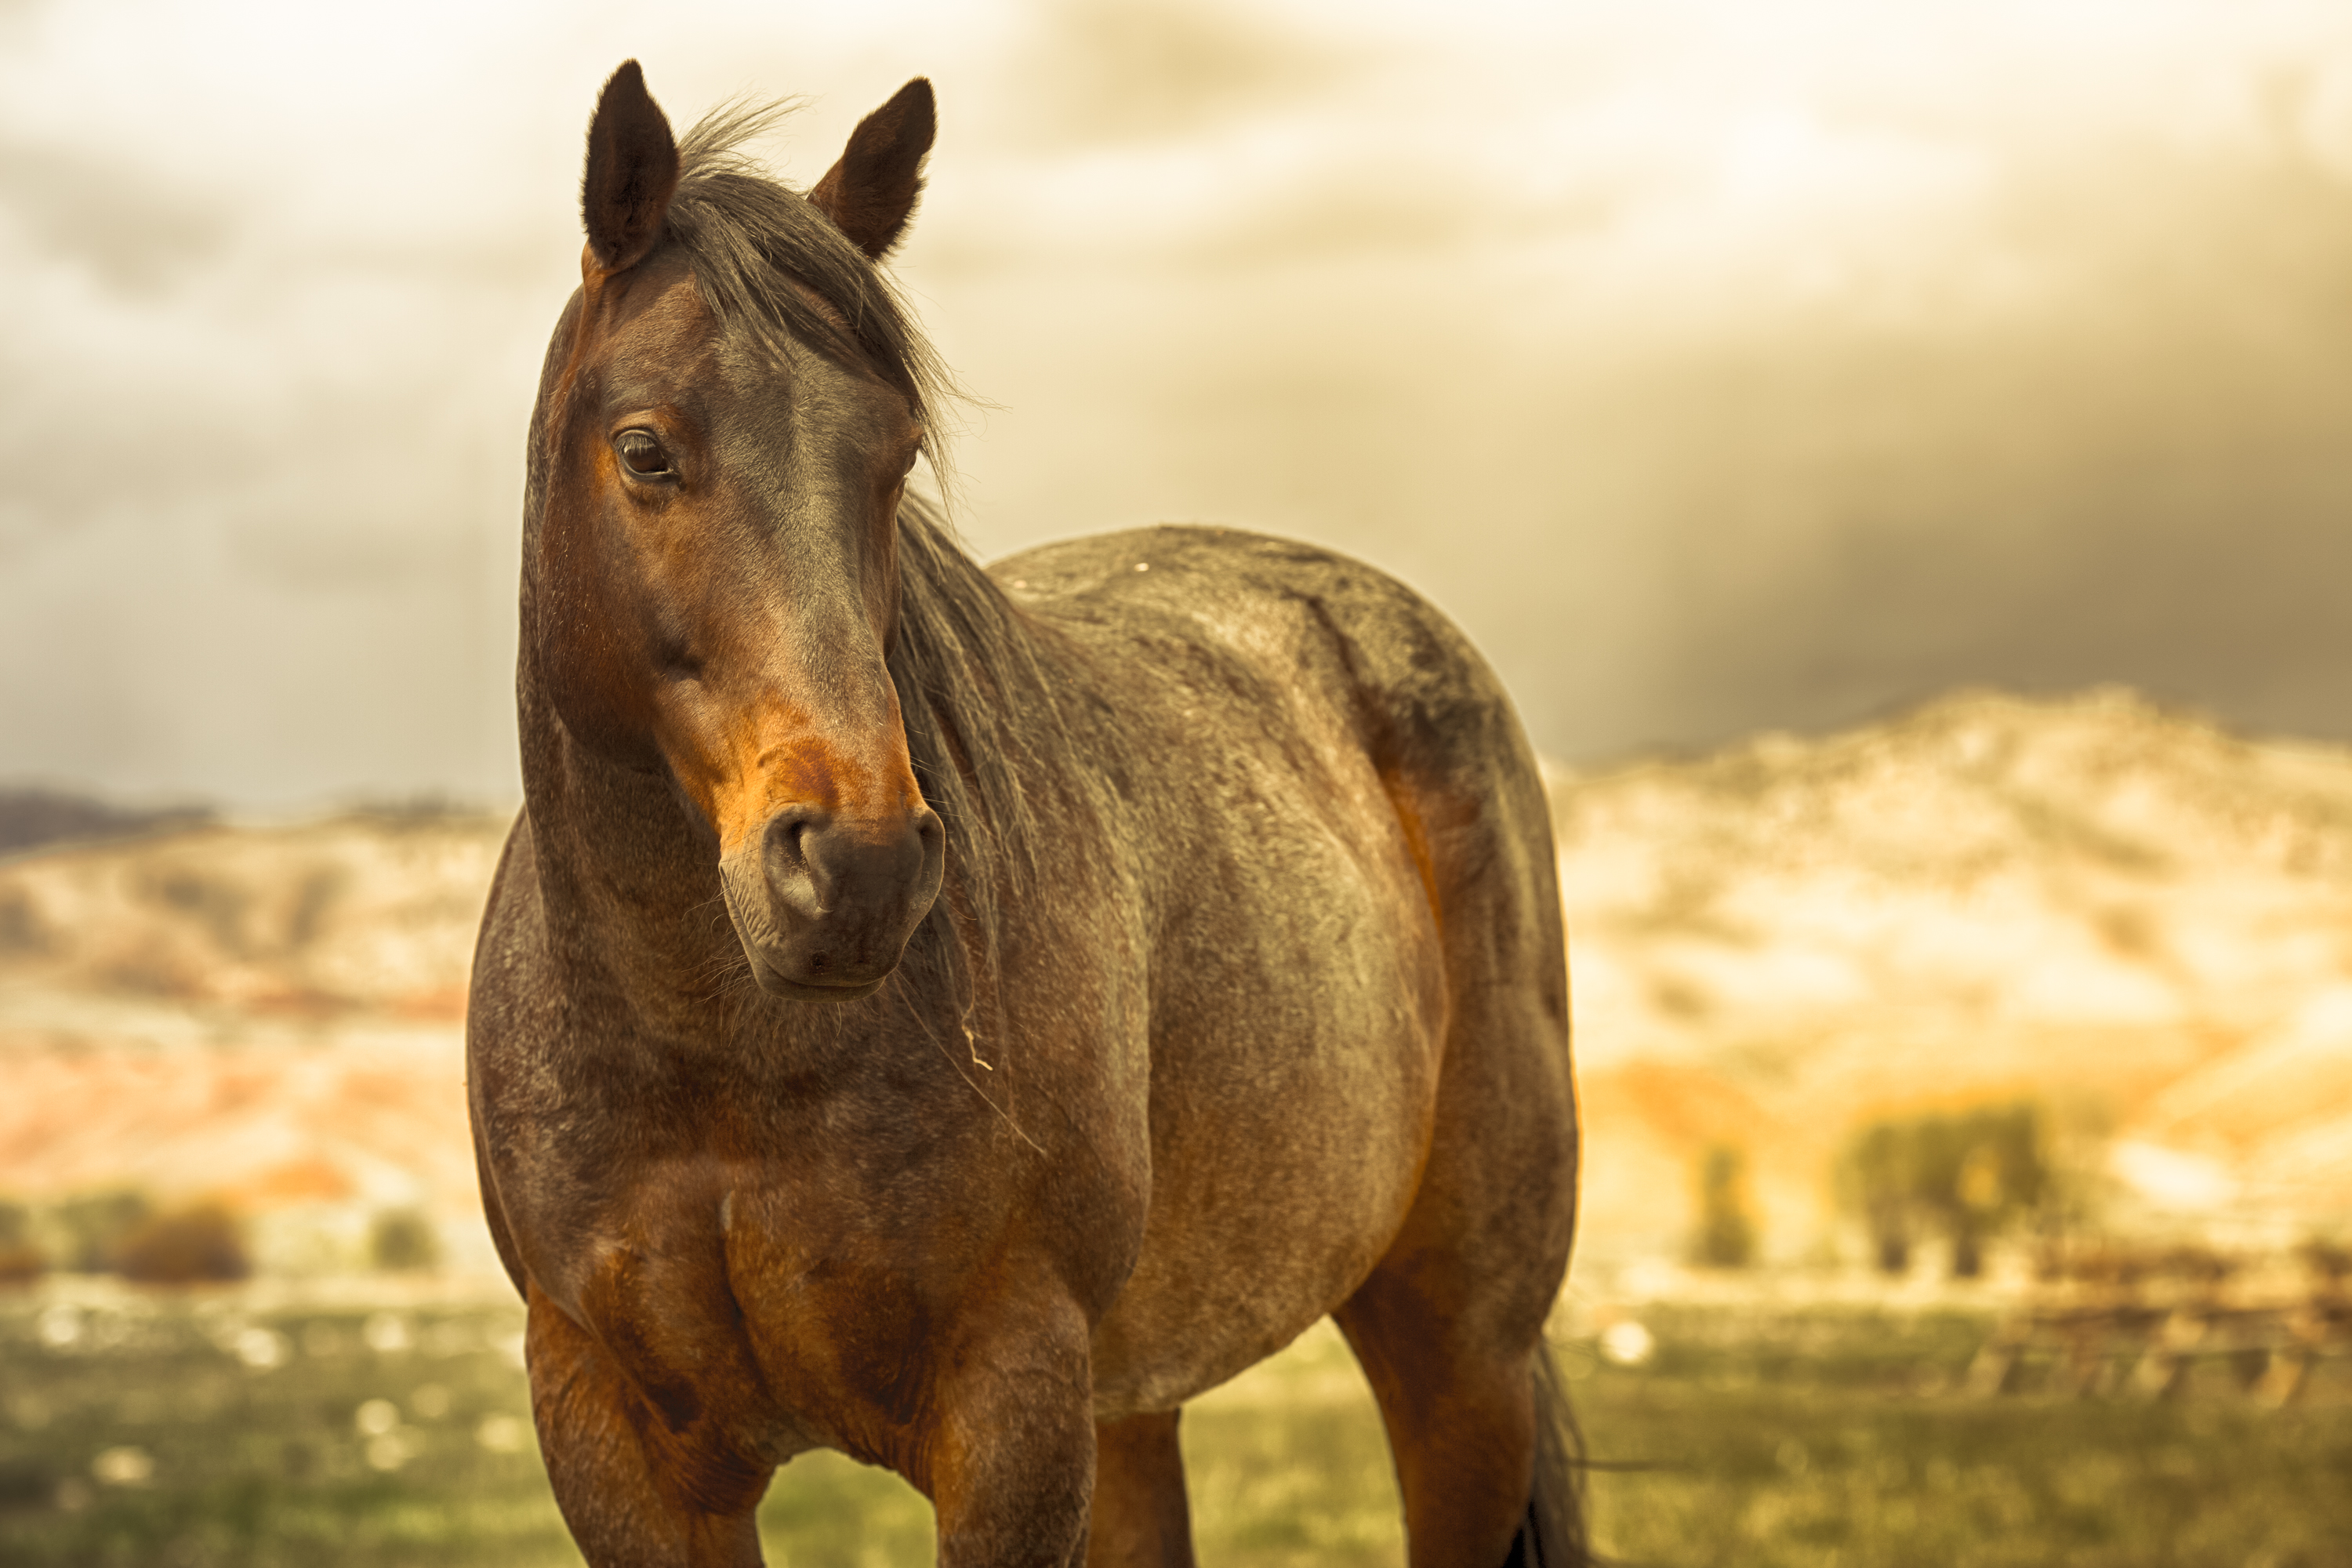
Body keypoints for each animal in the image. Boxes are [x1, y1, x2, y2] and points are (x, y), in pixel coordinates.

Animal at [468, 61, 1590, 1568]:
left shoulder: (1012, 1412)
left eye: (894, 457)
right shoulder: (616, 1436)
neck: (715, 1063)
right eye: (645, 450)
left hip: (1459, 1355)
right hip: (1139, 1406)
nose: (858, 868)